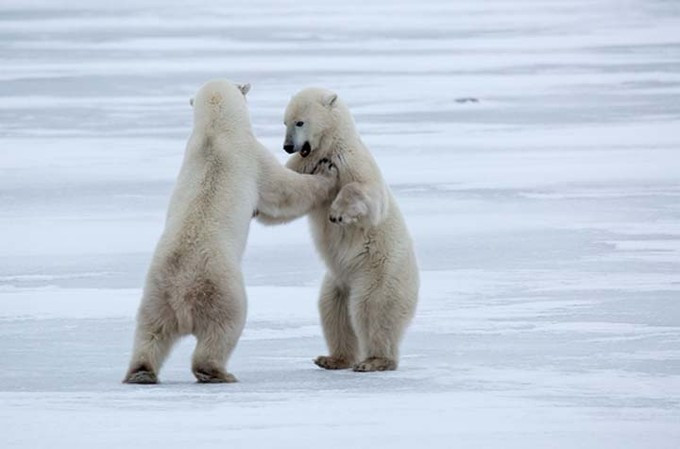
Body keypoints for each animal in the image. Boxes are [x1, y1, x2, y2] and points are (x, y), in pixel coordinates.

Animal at [125, 79, 338, 382]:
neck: (215, 131)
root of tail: (181, 295)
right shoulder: (253, 157)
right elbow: (283, 192)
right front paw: (327, 173)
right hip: (220, 287)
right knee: (224, 327)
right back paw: (216, 372)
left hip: (155, 294)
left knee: (150, 332)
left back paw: (141, 371)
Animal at [258, 87, 420, 372]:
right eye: (285, 122)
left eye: (300, 122)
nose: (288, 146)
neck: (328, 148)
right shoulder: (304, 164)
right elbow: (286, 197)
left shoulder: (351, 161)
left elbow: (368, 196)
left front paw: (337, 213)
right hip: (338, 280)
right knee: (333, 309)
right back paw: (333, 358)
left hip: (378, 272)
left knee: (372, 309)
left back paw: (375, 360)